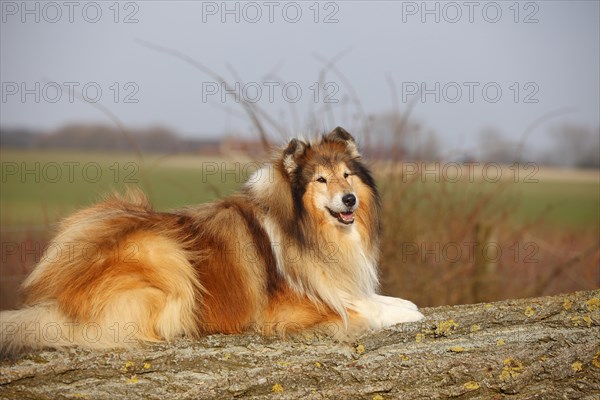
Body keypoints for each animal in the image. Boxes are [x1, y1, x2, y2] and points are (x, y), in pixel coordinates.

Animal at [0, 127, 424, 354]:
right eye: (321, 180)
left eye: (346, 175)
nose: (349, 199)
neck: (307, 230)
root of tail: (56, 291)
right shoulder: (291, 309)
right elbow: (362, 310)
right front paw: (407, 314)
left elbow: (379, 299)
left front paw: (406, 305)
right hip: (165, 250)